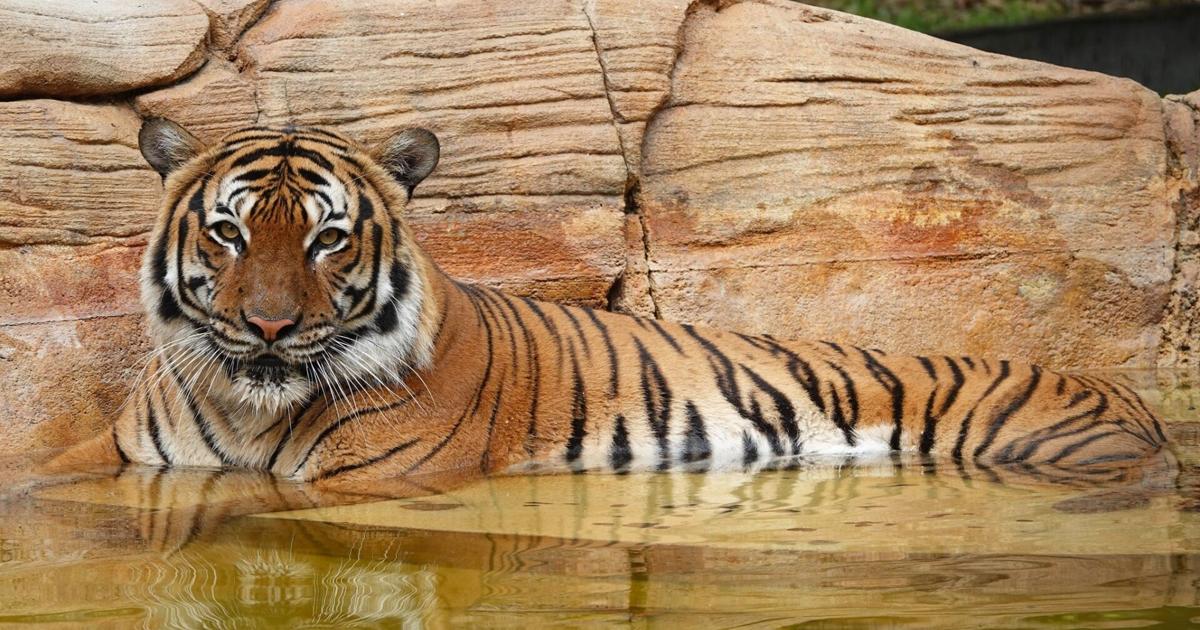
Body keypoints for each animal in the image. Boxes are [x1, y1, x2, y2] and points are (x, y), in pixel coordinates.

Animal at [49, 118, 1171, 495]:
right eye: (229, 234)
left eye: (328, 238)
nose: (271, 328)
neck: (251, 406)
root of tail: (1138, 402)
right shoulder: (123, 454)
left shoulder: (371, 479)